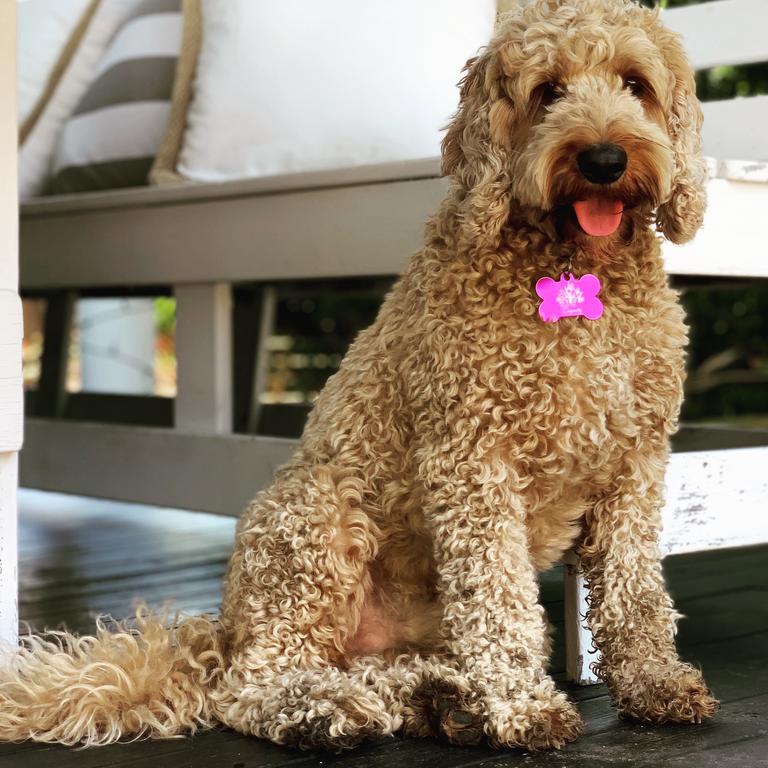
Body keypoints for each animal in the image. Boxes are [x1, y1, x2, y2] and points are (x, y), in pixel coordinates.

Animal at [3, 0, 716, 752]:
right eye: (547, 91)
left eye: (635, 84)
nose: (604, 160)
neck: (574, 275)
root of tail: (223, 631)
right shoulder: (472, 460)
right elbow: (497, 598)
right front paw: (523, 704)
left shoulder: (635, 464)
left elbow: (636, 591)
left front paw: (654, 683)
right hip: (316, 513)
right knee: (251, 684)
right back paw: (327, 712)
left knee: (378, 670)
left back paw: (443, 701)